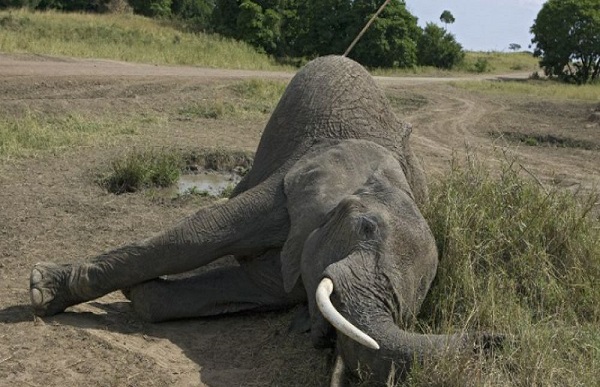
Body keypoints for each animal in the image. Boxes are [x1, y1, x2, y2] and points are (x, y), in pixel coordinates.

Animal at [28, 56, 500, 386]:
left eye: (418, 298)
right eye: (365, 228)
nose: (496, 340)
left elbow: (258, 288)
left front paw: (139, 295)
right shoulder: (291, 181)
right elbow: (199, 233)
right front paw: (41, 289)